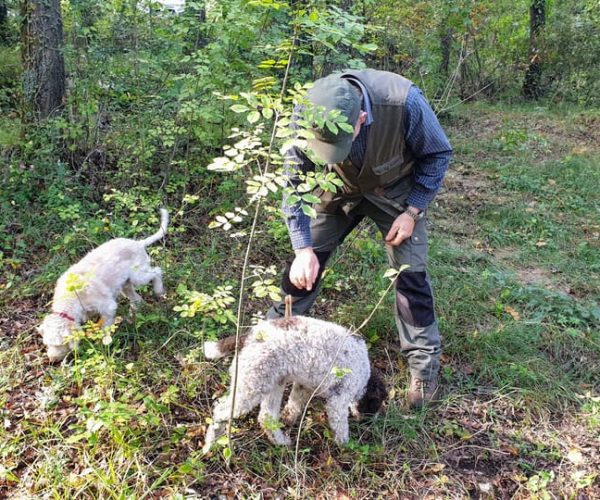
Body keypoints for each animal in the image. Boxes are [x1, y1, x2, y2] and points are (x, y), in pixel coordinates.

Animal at [38, 209, 169, 362]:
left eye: (60, 344)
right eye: (47, 344)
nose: (51, 360)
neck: (71, 297)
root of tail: (138, 243)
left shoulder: (108, 306)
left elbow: (105, 327)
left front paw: (104, 342)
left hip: (138, 276)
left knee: (157, 271)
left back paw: (159, 291)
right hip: (125, 284)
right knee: (136, 298)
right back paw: (134, 314)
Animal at [204, 316, 386, 454]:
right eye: (375, 404)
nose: (370, 423)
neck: (364, 375)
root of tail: (252, 335)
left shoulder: (304, 386)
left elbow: (294, 405)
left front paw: (288, 418)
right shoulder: (338, 400)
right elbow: (340, 426)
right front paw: (346, 446)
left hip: (273, 381)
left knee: (266, 417)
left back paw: (280, 442)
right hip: (252, 384)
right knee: (221, 411)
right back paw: (210, 444)